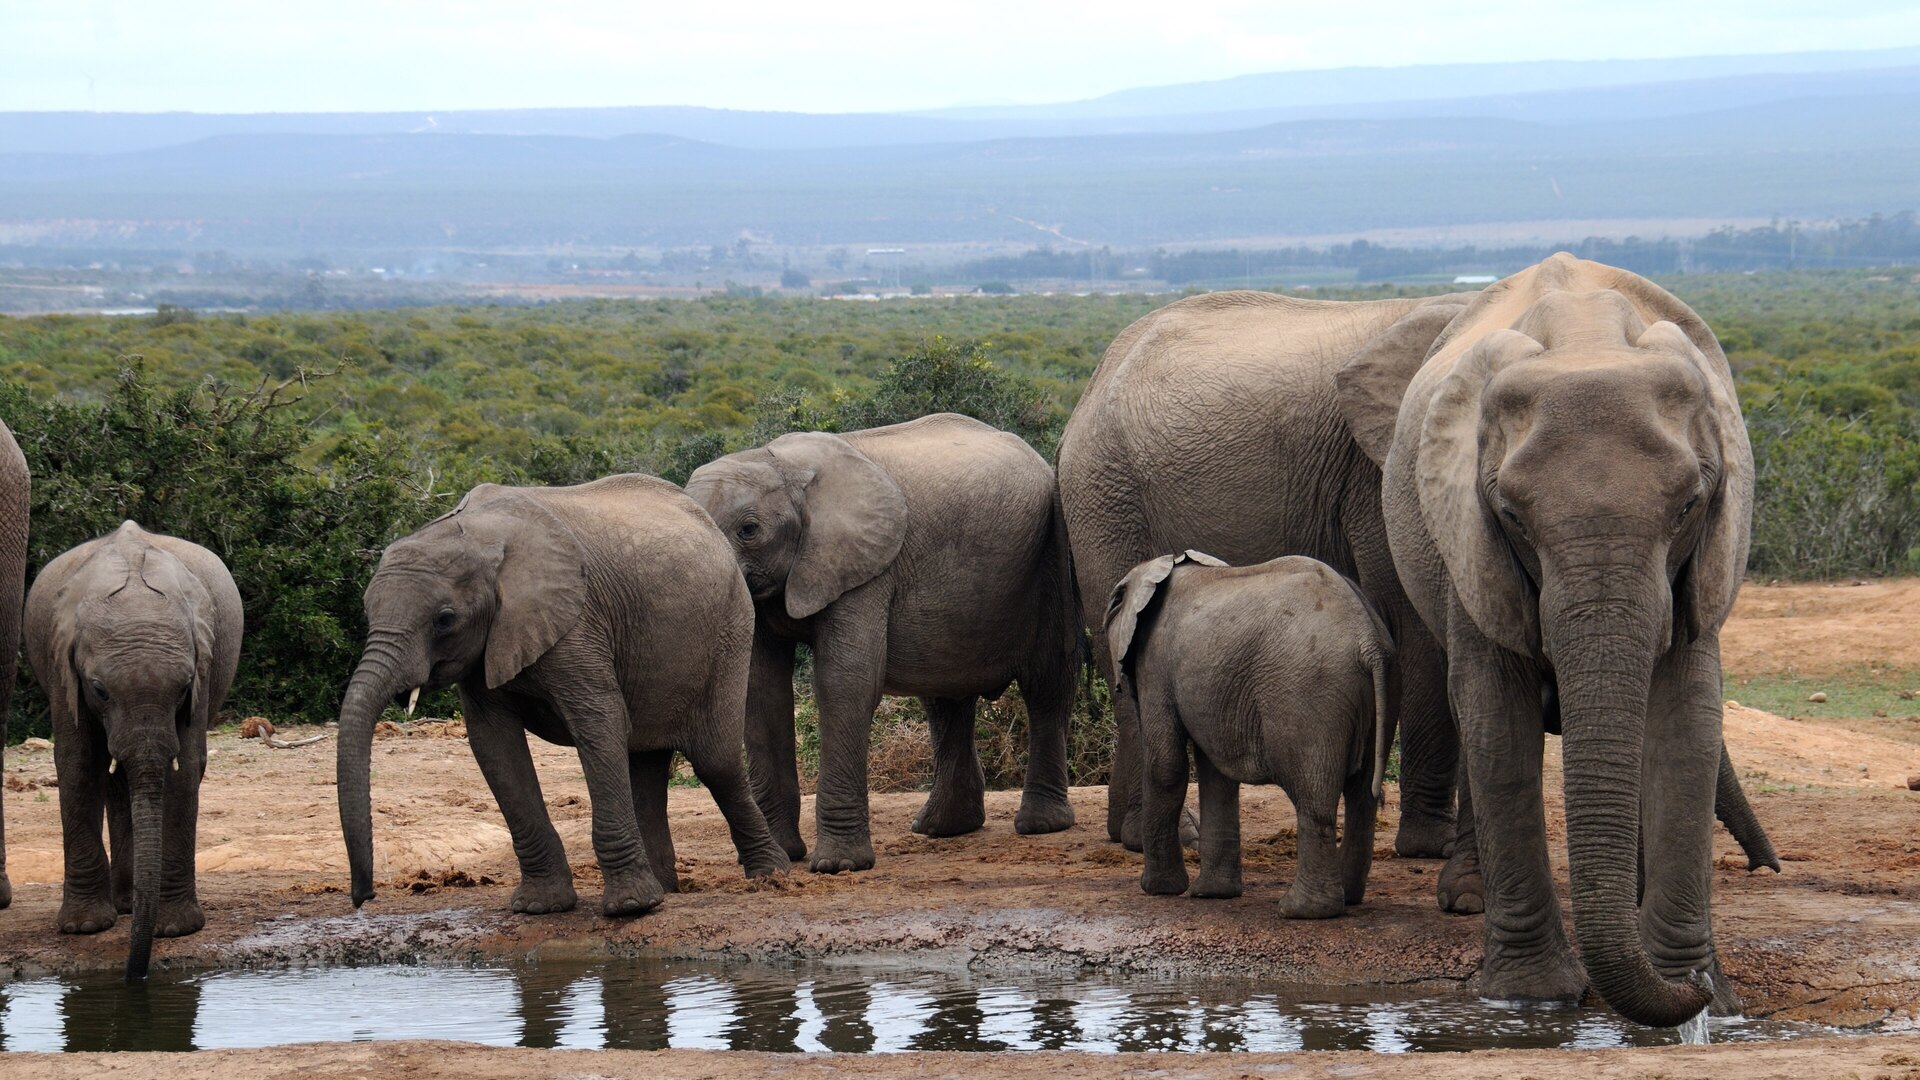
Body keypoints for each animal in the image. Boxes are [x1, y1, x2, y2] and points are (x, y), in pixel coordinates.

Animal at [24, 521, 242, 981]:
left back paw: (130, 903)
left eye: (182, 688)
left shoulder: (203, 666)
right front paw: (85, 927)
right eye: (100, 690)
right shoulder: (61, 665)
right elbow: (79, 765)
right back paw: (124, 905)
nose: (133, 978)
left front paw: (174, 929)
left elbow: (184, 769)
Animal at [336, 474, 790, 917]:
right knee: (645, 763)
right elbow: (494, 745)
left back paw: (771, 875)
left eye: (445, 619)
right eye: (366, 611)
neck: (478, 537)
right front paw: (541, 907)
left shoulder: (577, 623)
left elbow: (600, 722)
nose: (364, 897)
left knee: (716, 763)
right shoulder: (488, 649)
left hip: (731, 629)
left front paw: (630, 908)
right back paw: (666, 889)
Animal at [685, 413, 1079, 873]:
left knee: (1046, 682)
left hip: (1050, 551)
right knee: (945, 697)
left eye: (749, 530)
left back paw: (1040, 825)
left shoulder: (866, 566)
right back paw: (942, 828)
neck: (781, 466)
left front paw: (838, 866)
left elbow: (845, 682)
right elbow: (762, 691)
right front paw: (785, 856)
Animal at [1107, 551, 1393, 916]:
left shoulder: (1155, 664)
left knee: (1312, 793)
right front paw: (1212, 894)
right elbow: (1215, 775)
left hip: (1307, 692)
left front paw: (1158, 890)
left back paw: (1299, 911)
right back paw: (1349, 897)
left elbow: (1165, 767)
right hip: (1379, 686)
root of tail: (1368, 640)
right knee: (1362, 796)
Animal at [1337, 253, 1753, 1025]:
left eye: (1690, 505)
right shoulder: (1469, 536)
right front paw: (1532, 997)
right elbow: (1498, 720)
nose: (1693, 992)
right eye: (1511, 515)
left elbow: (1686, 720)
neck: (1588, 338)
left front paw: (1703, 996)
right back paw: (1469, 896)